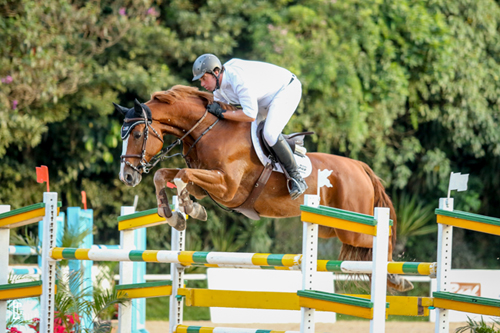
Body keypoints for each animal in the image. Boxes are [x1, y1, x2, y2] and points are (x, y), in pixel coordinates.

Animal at [116, 84, 414, 290]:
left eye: (138, 134)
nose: (127, 176)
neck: (208, 131)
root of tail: (361, 167)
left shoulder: (227, 187)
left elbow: (182, 176)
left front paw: (189, 209)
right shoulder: (207, 184)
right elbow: (166, 176)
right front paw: (174, 214)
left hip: (354, 228)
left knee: (381, 239)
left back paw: (396, 278)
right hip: (336, 229)